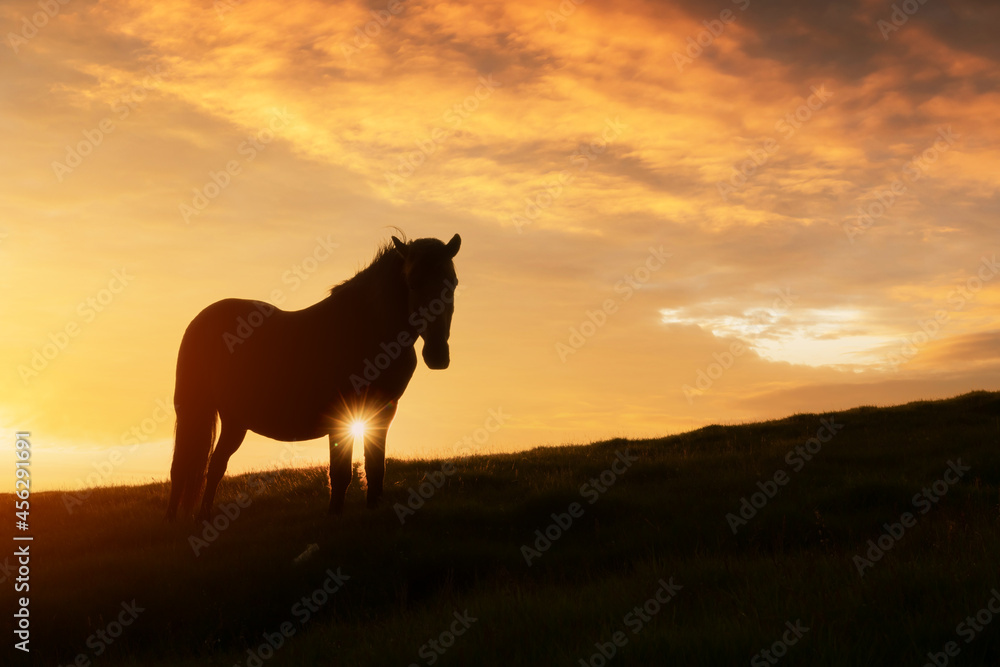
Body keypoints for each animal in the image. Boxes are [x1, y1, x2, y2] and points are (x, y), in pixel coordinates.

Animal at [165, 235, 460, 520]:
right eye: (412, 282)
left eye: (453, 284)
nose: (437, 355)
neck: (367, 328)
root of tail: (201, 320)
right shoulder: (342, 411)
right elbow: (340, 471)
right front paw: (334, 513)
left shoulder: (384, 411)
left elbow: (376, 466)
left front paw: (373, 507)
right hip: (195, 411)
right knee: (181, 467)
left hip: (234, 420)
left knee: (216, 465)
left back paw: (204, 516)